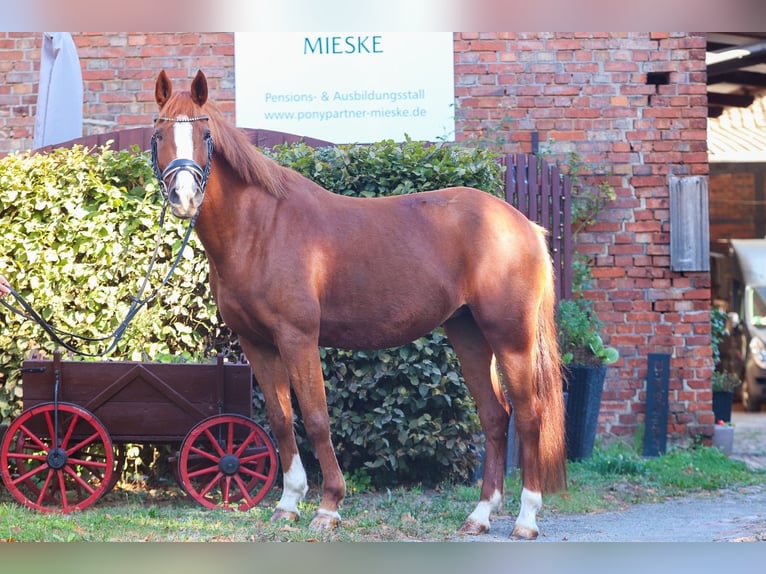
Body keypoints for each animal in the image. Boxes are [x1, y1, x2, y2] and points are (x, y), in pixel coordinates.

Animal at [151, 70, 566, 539]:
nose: (183, 197)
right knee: (495, 416)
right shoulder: (258, 343)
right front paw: (288, 503)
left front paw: (328, 506)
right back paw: (479, 516)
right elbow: (280, 419)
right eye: (159, 134)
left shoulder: (298, 338)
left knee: (529, 416)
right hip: (469, 333)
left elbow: (316, 418)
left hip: (511, 338)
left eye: (205, 136)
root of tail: (524, 224)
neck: (261, 228)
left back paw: (526, 520)